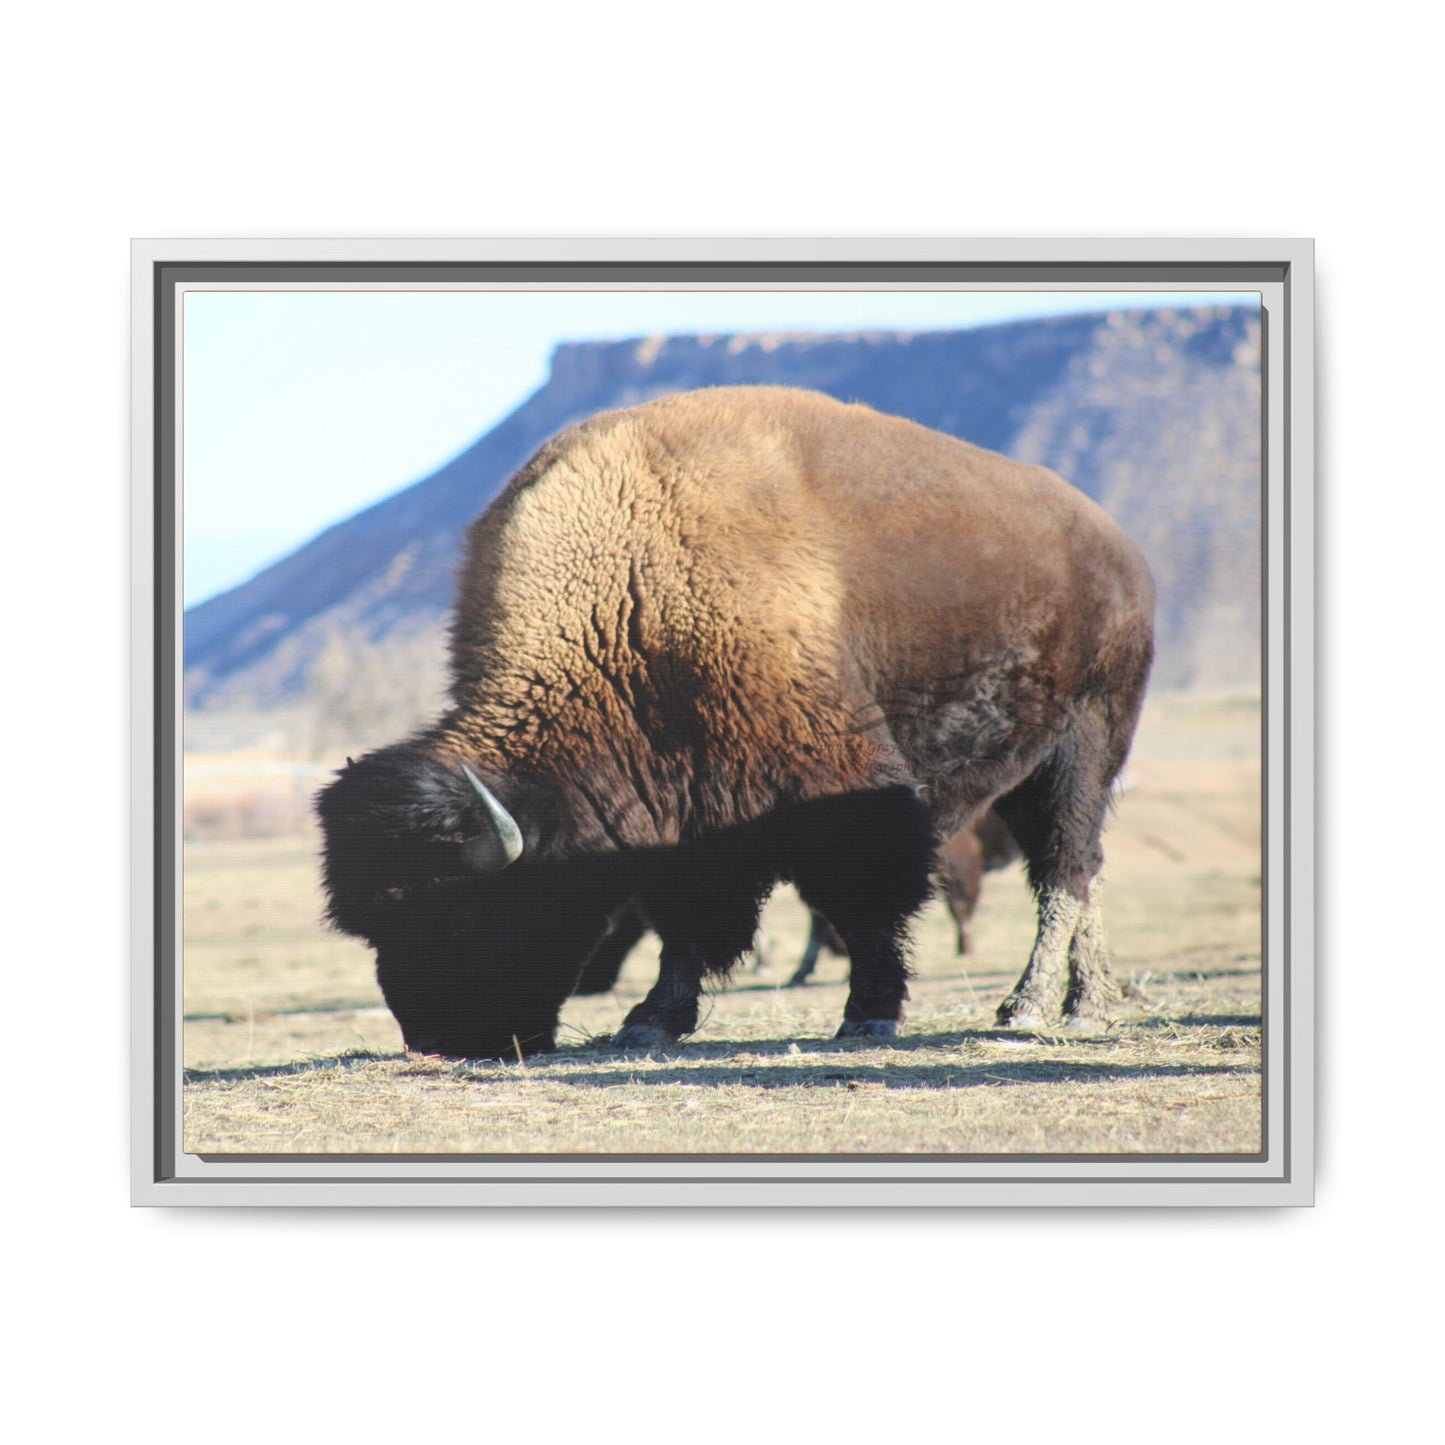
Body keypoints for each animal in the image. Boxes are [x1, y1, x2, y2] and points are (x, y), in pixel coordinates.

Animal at [316, 385, 1154, 1057]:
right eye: (375, 927)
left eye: (457, 914)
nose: (437, 1039)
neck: (630, 596)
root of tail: (1118, 548)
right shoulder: (686, 812)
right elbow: (686, 920)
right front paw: (649, 1020)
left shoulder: (838, 787)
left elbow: (865, 900)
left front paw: (868, 1013)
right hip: (1026, 770)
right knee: (1080, 869)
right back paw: (1087, 998)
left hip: (1085, 744)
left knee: (1064, 868)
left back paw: (1033, 1007)